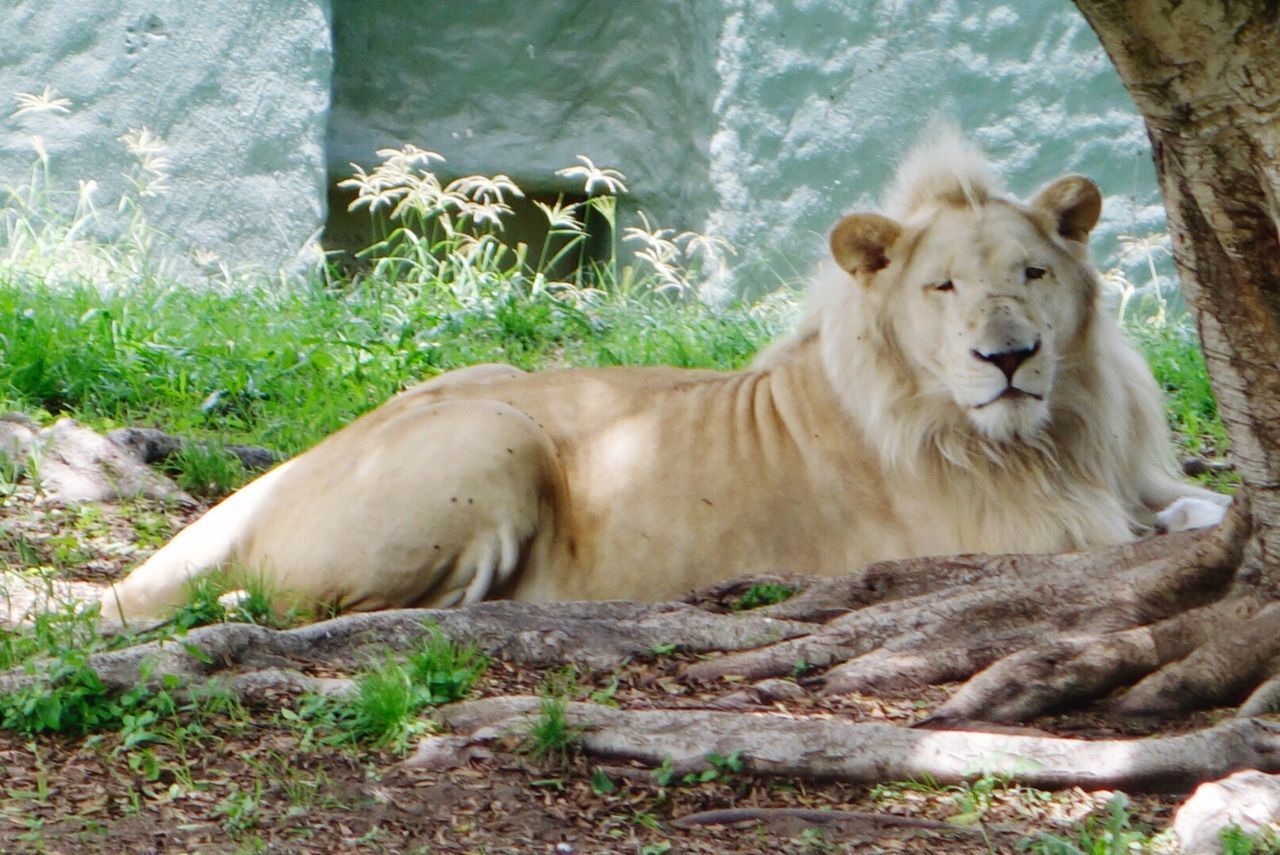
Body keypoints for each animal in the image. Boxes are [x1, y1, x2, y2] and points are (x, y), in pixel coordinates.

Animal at [97, 131, 1218, 627]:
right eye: (942, 288)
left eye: (1031, 275)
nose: (1008, 356)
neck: (1054, 430)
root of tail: (274, 480)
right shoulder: (1022, 538)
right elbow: (1151, 532)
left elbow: (1196, 501)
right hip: (490, 432)